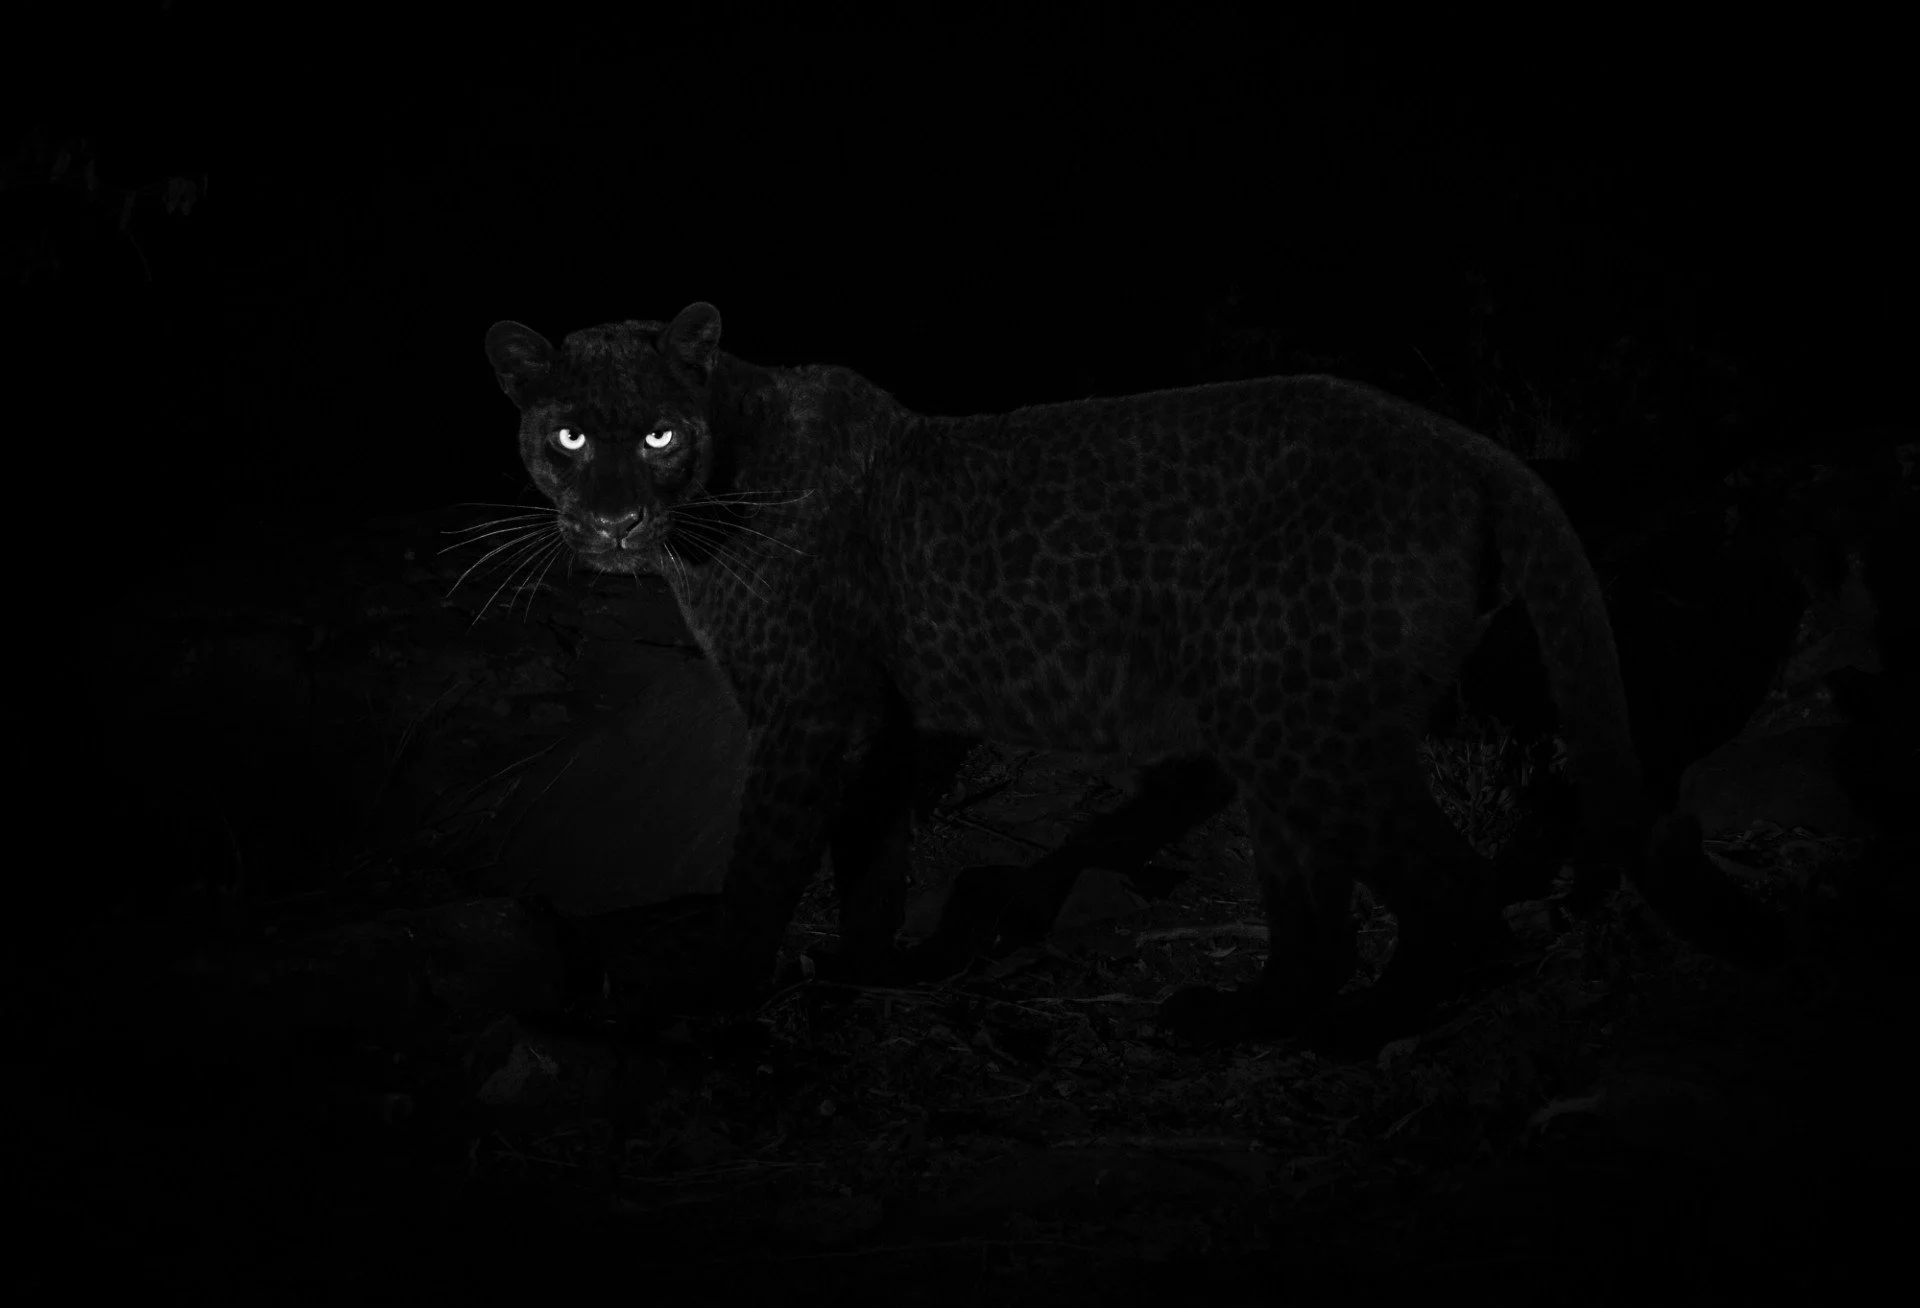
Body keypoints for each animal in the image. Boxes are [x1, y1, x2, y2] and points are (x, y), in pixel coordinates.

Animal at [484, 301, 1783, 1048]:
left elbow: (763, 865)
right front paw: (865, 976)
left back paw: (1366, 1027)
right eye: (567, 435)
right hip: (1280, 720)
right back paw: (1244, 1018)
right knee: (1319, 913)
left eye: (658, 434)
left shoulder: (806, 716)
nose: (608, 520)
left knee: (1452, 886)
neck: (722, 476)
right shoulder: (887, 728)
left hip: (1303, 720)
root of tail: (1468, 445)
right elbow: (873, 859)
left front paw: (715, 1002)